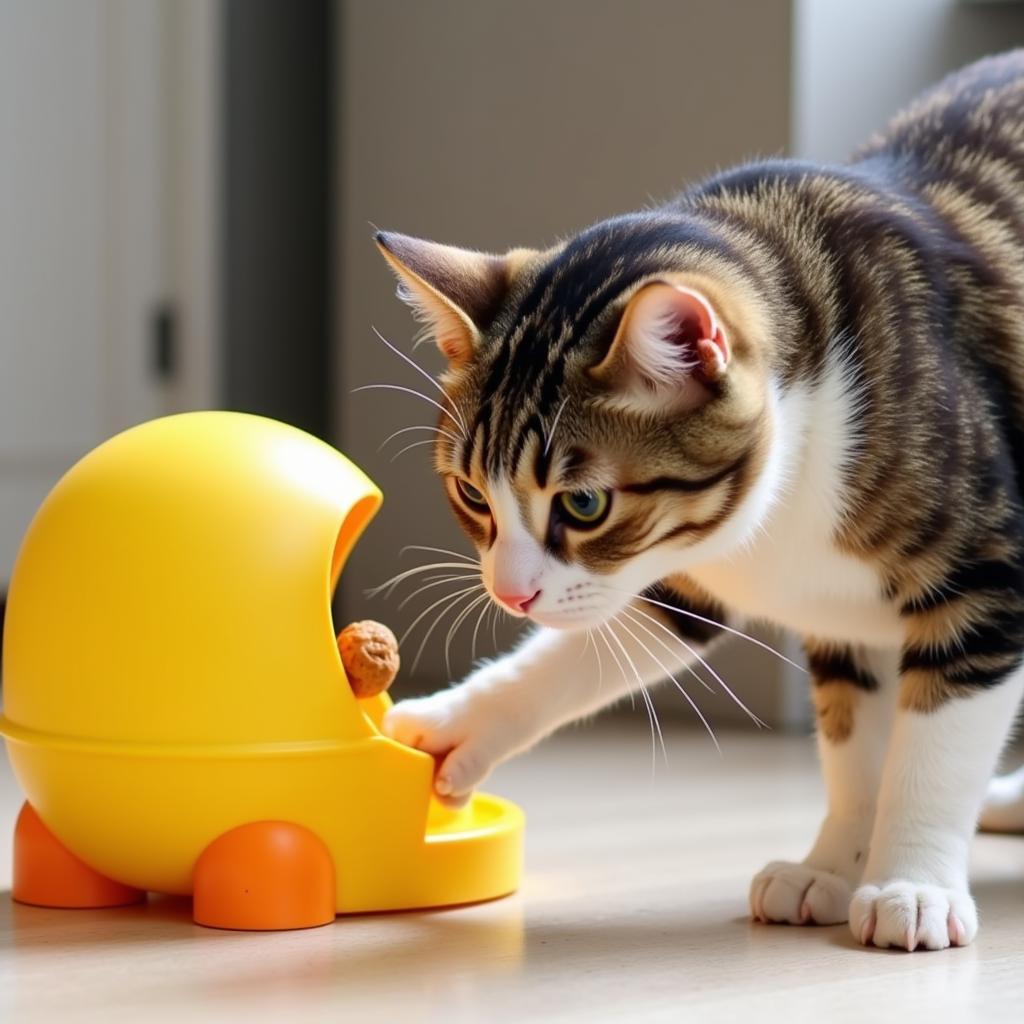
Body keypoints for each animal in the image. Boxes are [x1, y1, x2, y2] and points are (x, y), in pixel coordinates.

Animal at [372, 51, 1024, 950]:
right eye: (472, 491)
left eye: (584, 505)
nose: (509, 593)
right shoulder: (773, 600)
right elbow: (849, 744)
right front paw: (831, 865)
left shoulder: (985, 573)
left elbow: (935, 745)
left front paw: (908, 881)